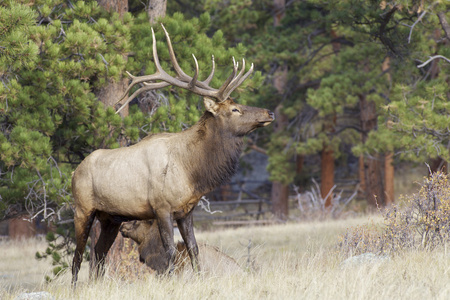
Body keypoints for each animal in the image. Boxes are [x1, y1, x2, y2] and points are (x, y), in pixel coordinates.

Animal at [71, 22, 274, 284]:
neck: (193, 172)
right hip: (83, 209)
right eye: (235, 109)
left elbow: (194, 250)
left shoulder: (186, 210)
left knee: (98, 253)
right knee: (77, 257)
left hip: (110, 217)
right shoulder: (161, 207)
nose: (269, 112)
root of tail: (75, 171)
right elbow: (169, 252)